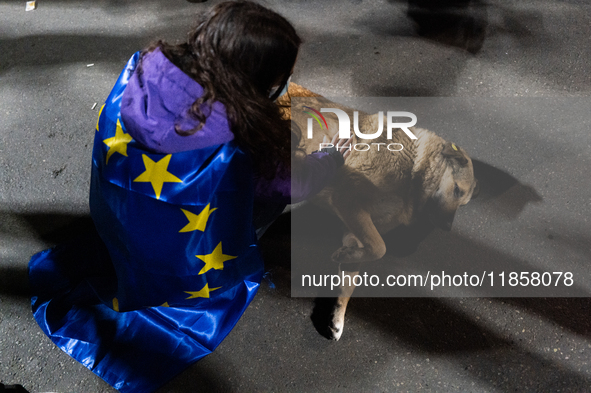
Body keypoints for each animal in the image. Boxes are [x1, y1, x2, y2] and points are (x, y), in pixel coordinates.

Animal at [280, 83, 478, 340]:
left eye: (462, 203)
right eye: (456, 190)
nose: (447, 228)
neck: (414, 169)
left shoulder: (354, 230)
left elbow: (356, 269)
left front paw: (337, 314)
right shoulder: (349, 202)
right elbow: (380, 248)